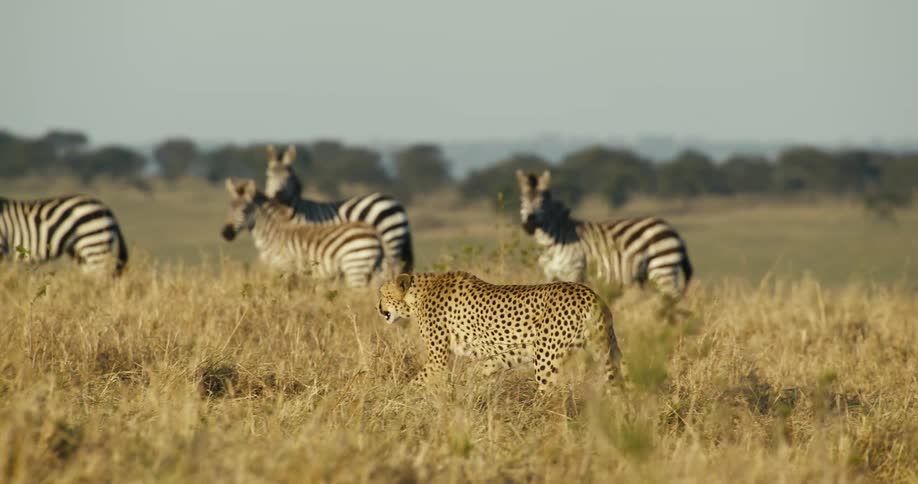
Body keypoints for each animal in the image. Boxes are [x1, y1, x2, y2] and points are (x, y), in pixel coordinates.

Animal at [221, 178, 384, 288]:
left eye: (244, 210)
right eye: (229, 207)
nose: (226, 233)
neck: (274, 234)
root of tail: (375, 233)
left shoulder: (286, 267)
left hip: (356, 268)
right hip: (372, 270)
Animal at [377, 271, 623, 392]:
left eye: (382, 294)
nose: (378, 308)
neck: (417, 294)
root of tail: (589, 293)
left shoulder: (437, 360)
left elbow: (416, 382)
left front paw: (398, 399)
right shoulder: (505, 355)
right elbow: (475, 373)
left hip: (546, 362)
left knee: (550, 398)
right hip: (609, 351)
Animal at [516, 170, 693, 298]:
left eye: (542, 201)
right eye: (522, 200)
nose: (529, 224)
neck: (551, 242)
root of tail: (671, 229)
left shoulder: (575, 270)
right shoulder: (550, 274)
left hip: (663, 268)